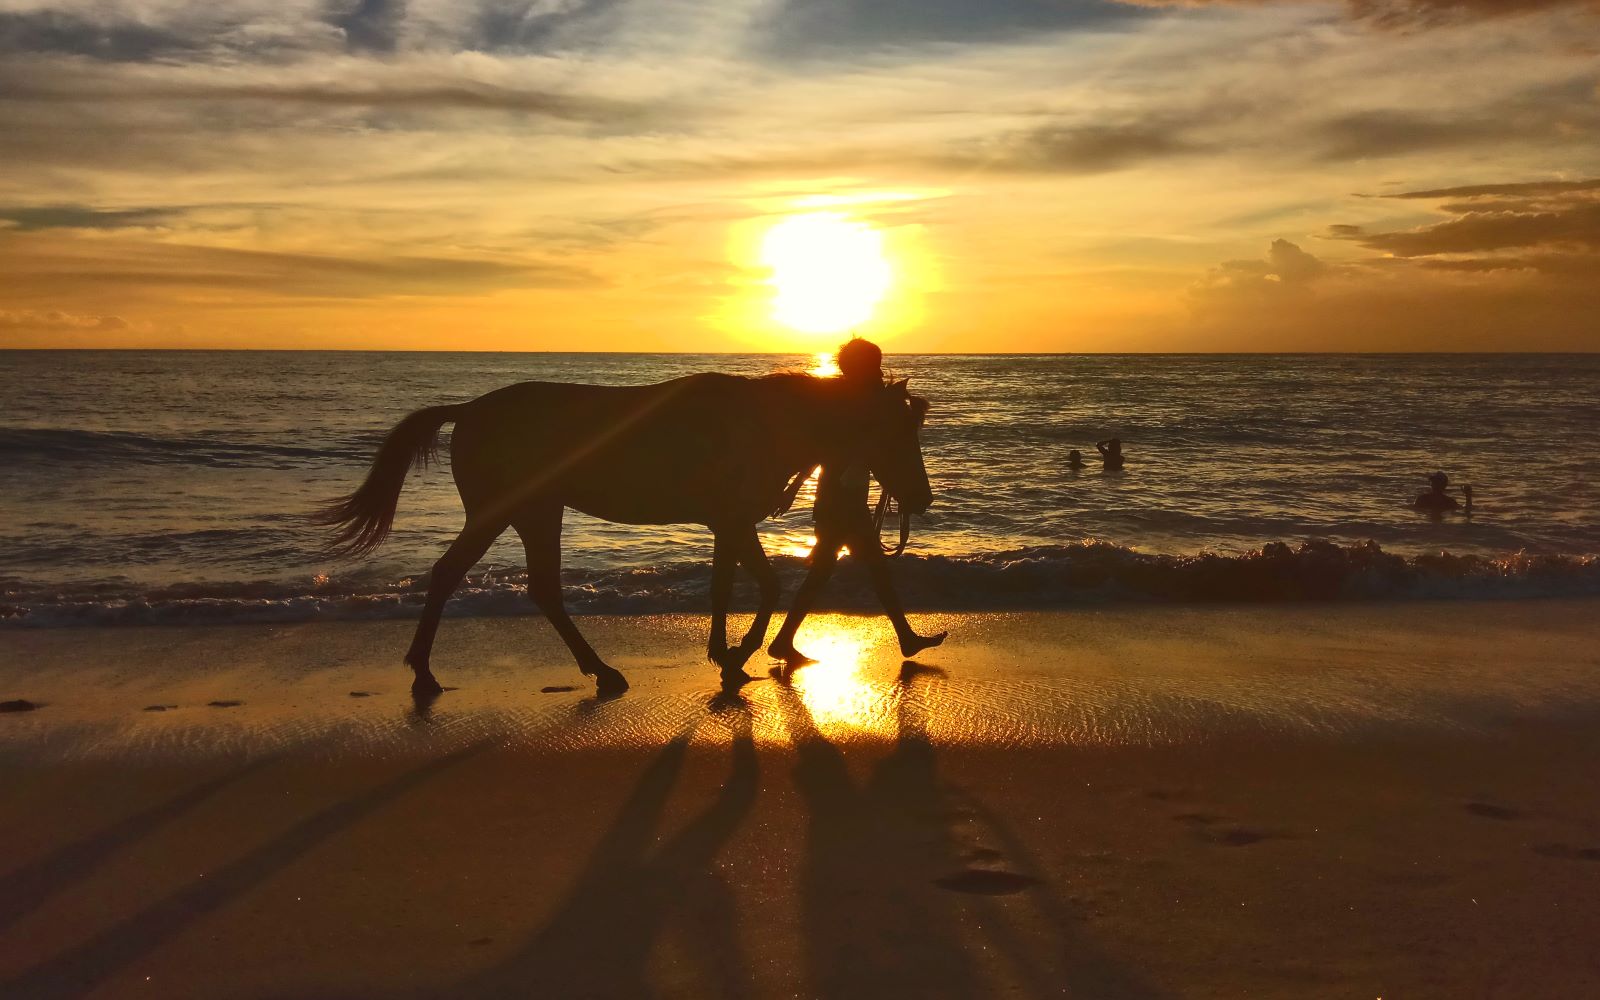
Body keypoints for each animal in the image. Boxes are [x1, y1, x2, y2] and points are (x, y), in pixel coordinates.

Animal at [313, 371, 934, 697]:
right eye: (901, 432)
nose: (922, 500)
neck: (766, 421)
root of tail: (467, 410)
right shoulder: (733, 520)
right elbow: (764, 585)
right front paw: (738, 653)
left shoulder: (726, 522)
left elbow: (731, 586)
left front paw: (725, 653)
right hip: (508, 510)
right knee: (456, 575)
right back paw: (426, 673)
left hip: (537, 511)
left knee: (539, 589)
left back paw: (598, 670)